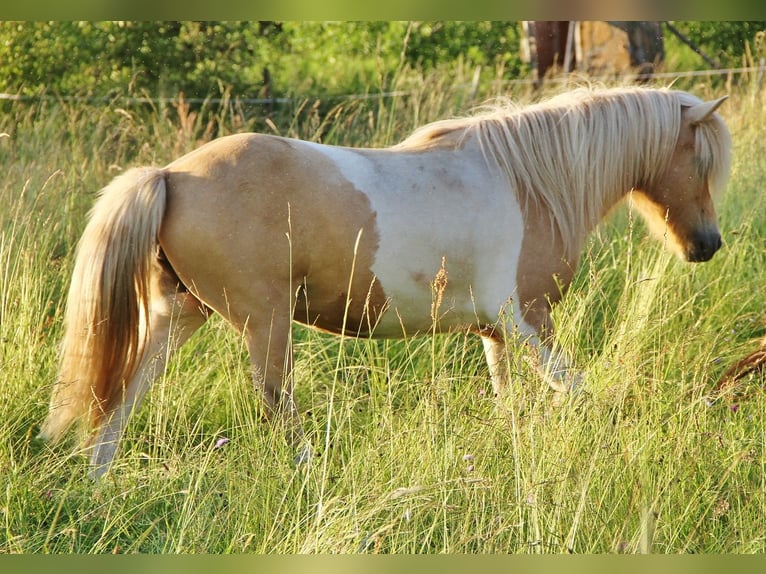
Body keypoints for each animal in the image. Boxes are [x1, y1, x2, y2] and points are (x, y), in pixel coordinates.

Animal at [39, 86, 736, 482]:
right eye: (699, 159)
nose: (707, 245)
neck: (527, 182)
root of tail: (171, 175)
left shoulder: (496, 333)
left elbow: (510, 403)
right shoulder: (527, 320)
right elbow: (580, 392)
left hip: (178, 315)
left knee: (122, 395)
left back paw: (98, 485)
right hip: (264, 325)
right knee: (276, 404)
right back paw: (309, 478)